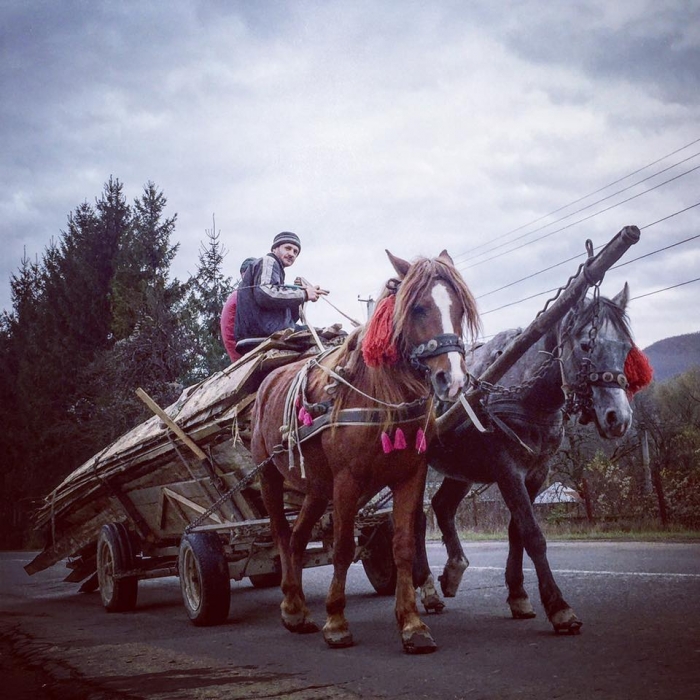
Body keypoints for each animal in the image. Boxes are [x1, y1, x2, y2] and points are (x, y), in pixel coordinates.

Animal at [249, 249, 478, 652]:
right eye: (417, 307)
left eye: (460, 309)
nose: (452, 380)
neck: (381, 398)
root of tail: (267, 382)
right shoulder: (347, 481)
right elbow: (342, 547)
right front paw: (336, 621)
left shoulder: (410, 476)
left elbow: (403, 545)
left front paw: (412, 624)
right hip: (270, 477)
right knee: (280, 533)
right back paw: (292, 607)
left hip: (317, 487)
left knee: (296, 537)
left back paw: (299, 607)